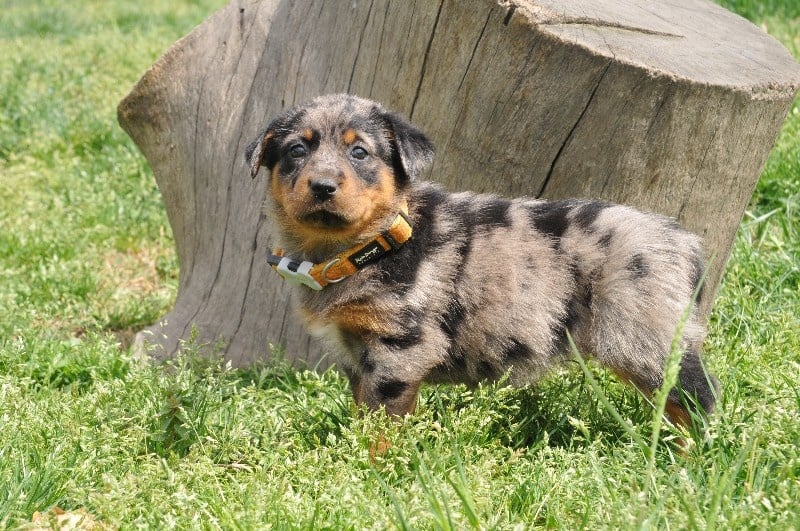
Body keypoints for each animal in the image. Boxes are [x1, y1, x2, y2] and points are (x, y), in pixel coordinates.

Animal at [245, 93, 719, 434]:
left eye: (359, 153)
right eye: (296, 150)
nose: (323, 186)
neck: (366, 246)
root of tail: (683, 241)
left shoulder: (398, 352)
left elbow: (381, 425)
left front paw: (375, 469)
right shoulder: (360, 357)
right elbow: (363, 412)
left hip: (645, 339)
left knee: (697, 400)